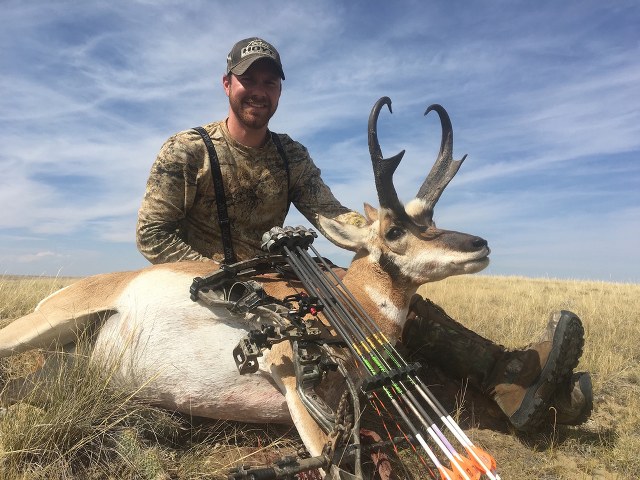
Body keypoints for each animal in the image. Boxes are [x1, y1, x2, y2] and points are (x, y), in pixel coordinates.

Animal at [0, 98, 490, 472]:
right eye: (394, 230)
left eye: (432, 220)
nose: (480, 244)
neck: (347, 307)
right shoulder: (297, 392)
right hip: (40, 327)